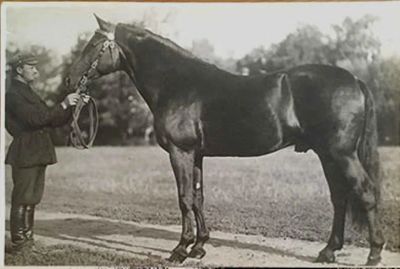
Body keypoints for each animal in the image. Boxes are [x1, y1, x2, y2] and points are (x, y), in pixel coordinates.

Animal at [65, 15, 384, 264]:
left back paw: (374, 254)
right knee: (340, 198)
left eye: (93, 45)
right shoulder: (196, 155)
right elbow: (198, 197)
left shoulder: (180, 152)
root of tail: (354, 80)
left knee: (365, 192)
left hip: (341, 154)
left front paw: (180, 250)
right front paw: (199, 247)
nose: (69, 80)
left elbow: (184, 198)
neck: (176, 83)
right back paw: (328, 251)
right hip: (328, 155)